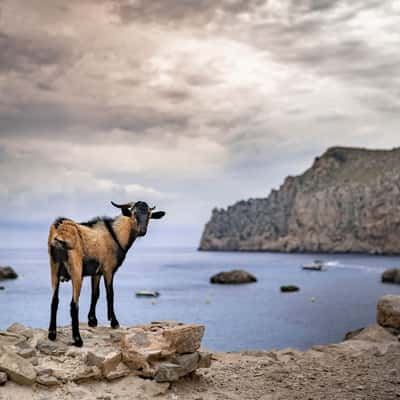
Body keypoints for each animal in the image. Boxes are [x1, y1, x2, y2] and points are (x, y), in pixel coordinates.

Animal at [47, 202, 166, 346]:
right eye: (134, 214)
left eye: (148, 214)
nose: (142, 231)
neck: (116, 235)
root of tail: (60, 232)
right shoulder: (108, 269)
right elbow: (110, 294)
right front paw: (114, 322)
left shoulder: (96, 272)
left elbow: (95, 294)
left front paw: (92, 320)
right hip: (76, 269)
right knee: (73, 304)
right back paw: (78, 339)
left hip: (54, 268)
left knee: (54, 300)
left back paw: (52, 334)